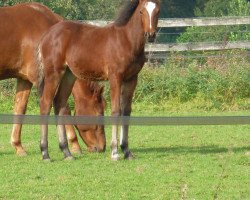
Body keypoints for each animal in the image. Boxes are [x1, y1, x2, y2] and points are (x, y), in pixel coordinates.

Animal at [0, 2, 105, 156]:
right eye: (99, 113)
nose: (101, 147)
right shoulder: (43, 79)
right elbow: (63, 108)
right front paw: (74, 145)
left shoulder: (24, 80)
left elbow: (20, 108)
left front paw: (18, 146)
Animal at [38, 0, 160, 160]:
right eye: (141, 11)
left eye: (157, 11)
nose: (151, 35)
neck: (126, 40)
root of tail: (46, 36)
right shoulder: (115, 77)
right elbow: (116, 110)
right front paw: (115, 152)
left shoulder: (132, 79)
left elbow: (126, 111)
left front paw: (126, 151)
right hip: (53, 73)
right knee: (45, 104)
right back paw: (45, 153)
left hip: (69, 75)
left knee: (58, 103)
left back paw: (67, 152)